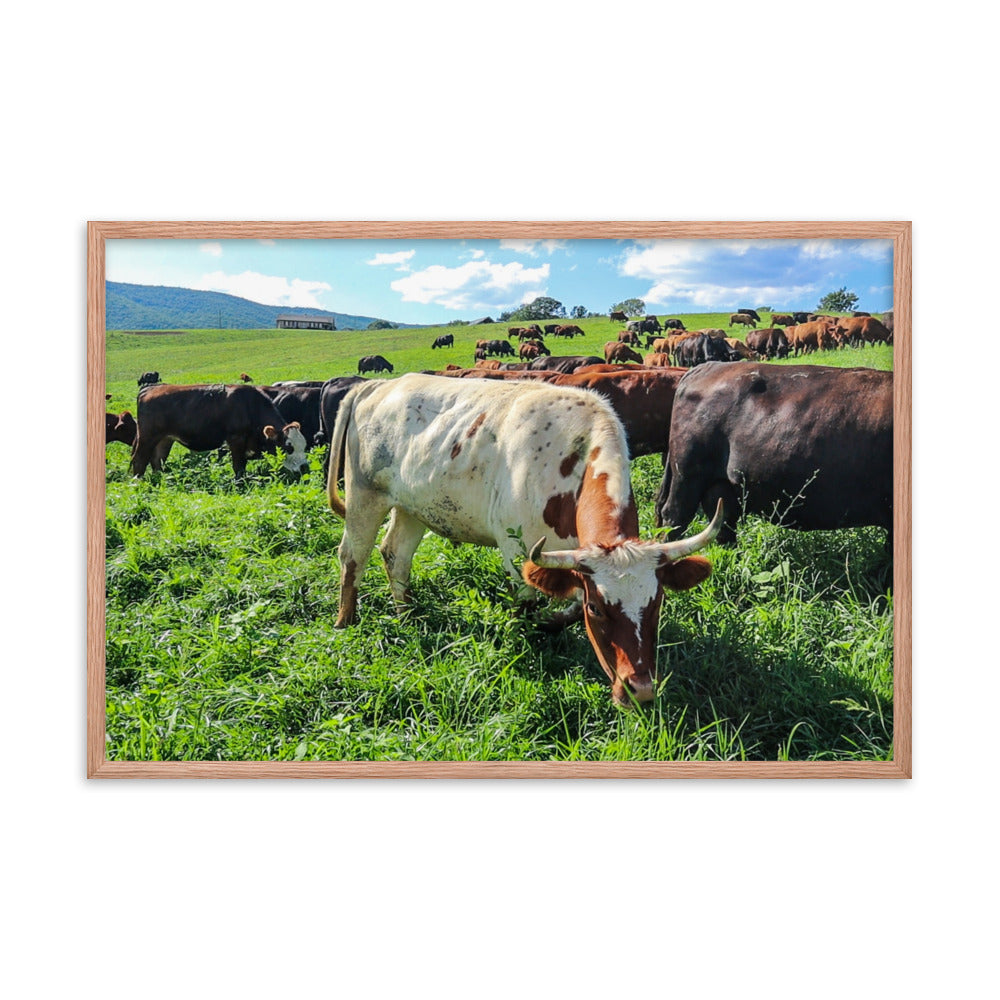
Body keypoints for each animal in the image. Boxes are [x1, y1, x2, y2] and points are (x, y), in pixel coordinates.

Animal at [129, 384, 309, 479]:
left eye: (304, 445)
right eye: (288, 447)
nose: (305, 468)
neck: (249, 406)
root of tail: (151, 388)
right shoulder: (236, 439)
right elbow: (239, 466)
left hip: (165, 439)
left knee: (157, 460)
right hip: (147, 437)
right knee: (139, 460)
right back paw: (138, 483)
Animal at [327, 373, 722, 706]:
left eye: (657, 603)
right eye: (598, 609)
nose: (639, 690)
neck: (572, 461)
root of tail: (378, 385)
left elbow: (567, 606)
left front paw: (552, 623)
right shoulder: (517, 552)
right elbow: (528, 607)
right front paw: (529, 641)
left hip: (412, 507)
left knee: (396, 555)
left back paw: (407, 614)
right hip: (364, 497)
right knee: (352, 557)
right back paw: (346, 622)